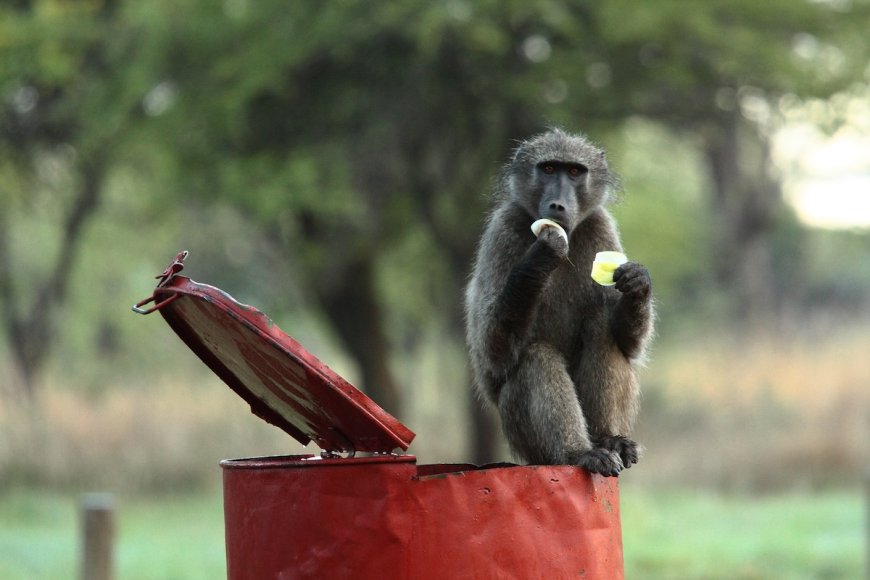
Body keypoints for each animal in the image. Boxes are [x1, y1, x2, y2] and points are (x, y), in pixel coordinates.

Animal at [464, 128, 654, 477]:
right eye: (549, 169)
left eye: (575, 171)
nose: (557, 205)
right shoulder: (503, 230)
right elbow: (494, 353)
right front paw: (541, 256)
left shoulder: (601, 226)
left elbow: (630, 345)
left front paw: (638, 283)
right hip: (522, 436)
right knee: (535, 355)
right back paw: (578, 453)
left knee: (601, 326)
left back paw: (610, 440)